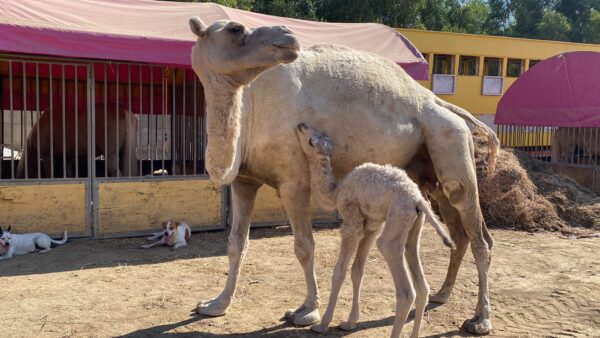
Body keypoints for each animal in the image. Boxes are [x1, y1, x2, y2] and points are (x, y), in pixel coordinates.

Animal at [296, 124, 454, 338]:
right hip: (412, 228)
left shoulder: (352, 222)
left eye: (312, 140)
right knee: (421, 285)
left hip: (395, 222)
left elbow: (339, 272)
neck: (336, 192)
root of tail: (417, 199)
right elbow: (357, 271)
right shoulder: (371, 227)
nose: (301, 125)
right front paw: (349, 323)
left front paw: (322, 325)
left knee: (406, 291)